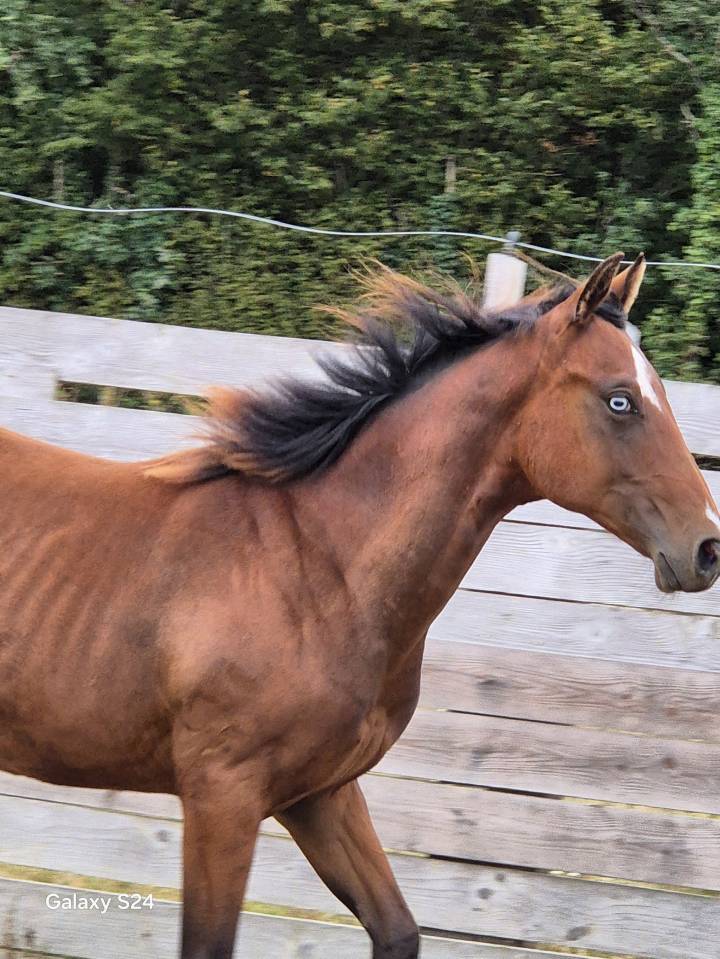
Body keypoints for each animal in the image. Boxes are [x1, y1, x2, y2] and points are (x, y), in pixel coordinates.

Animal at [0, 251, 718, 959]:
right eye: (620, 399)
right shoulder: (222, 795)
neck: (321, 571)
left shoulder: (321, 793)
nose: (707, 546)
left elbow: (396, 929)